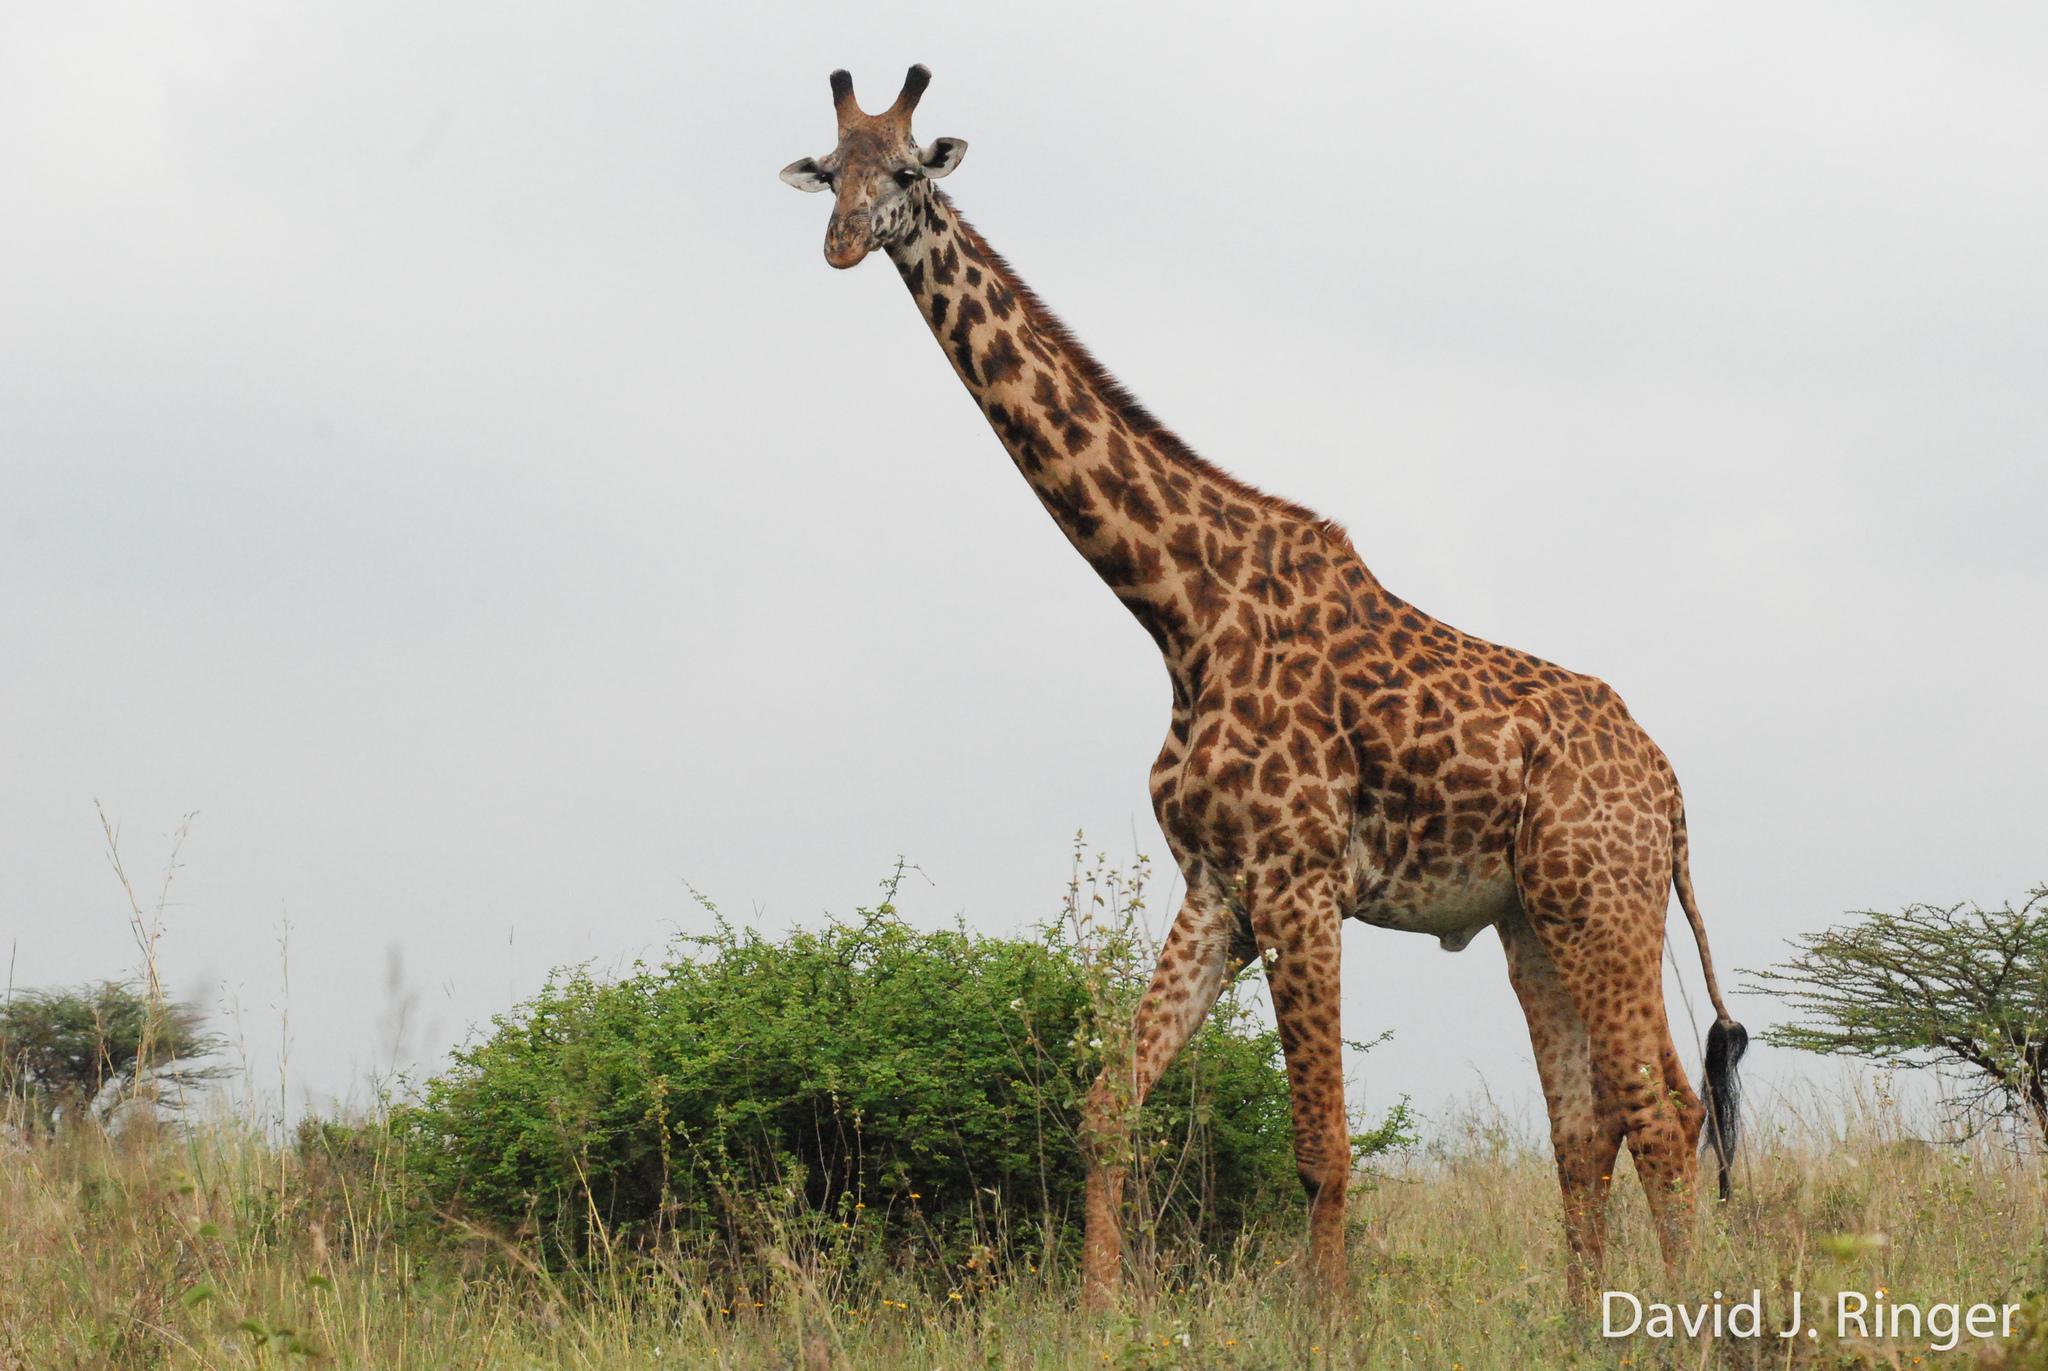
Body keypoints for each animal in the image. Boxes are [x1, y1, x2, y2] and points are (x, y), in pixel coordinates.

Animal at [778, 64, 1744, 1303]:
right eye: (827, 170)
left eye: (904, 172)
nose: (843, 244)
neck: (1176, 611)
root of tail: (1669, 793)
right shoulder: (1217, 889)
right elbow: (1104, 1109)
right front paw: (1098, 1316)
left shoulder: (1297, 881)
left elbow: (1321, 1151)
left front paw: (1326, 1325)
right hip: (1533, 919)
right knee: (1591, 1129)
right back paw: (1585, 1325)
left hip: (1601, 901)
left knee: (1661, 1117)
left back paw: (1687, 1320)